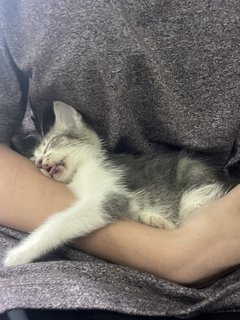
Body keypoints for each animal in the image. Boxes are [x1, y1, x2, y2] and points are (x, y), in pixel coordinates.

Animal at [3, 101, 236, 266]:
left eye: (52, 143)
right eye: (34, 158)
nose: (40, 163)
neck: (82, 169)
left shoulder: (110, 197)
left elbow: (60, 223)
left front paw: (18, 254)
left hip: (194, 181)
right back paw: (154, 220)